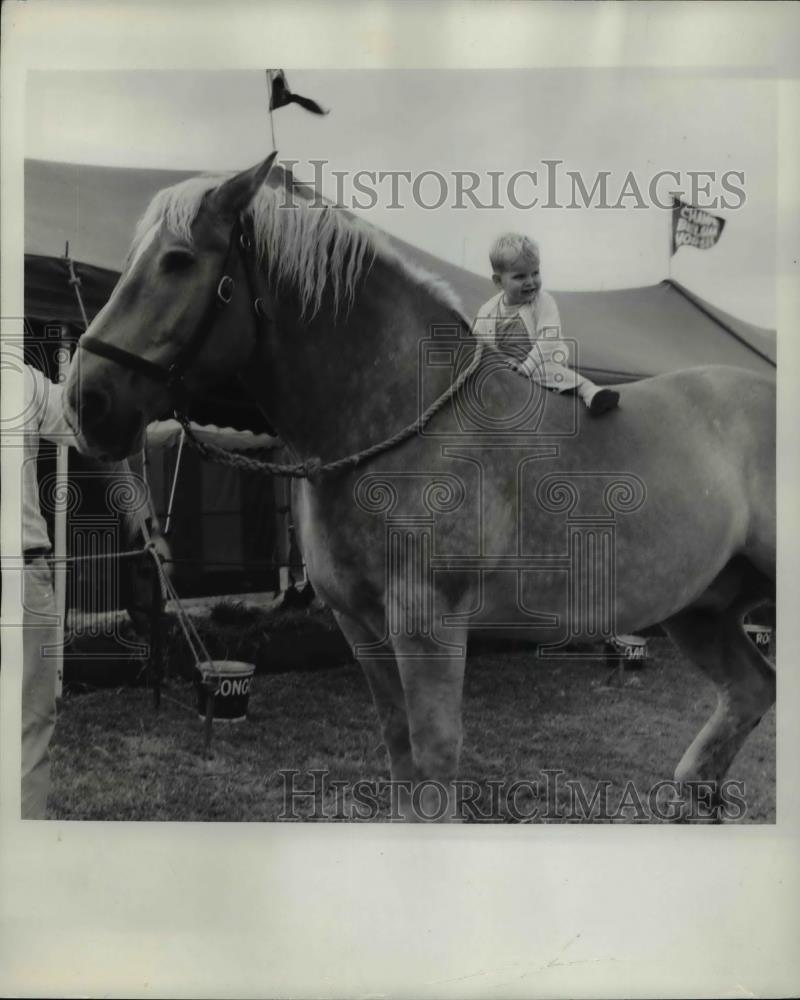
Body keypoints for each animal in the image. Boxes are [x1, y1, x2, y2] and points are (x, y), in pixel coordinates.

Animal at [65, 150, 780, 820]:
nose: (86, 402)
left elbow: (435, 761)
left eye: (178, 260)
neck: (395, 425)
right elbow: (401, 753)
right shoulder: (361, 628)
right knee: (750, 690)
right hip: (701, 609)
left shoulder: (427, 628)